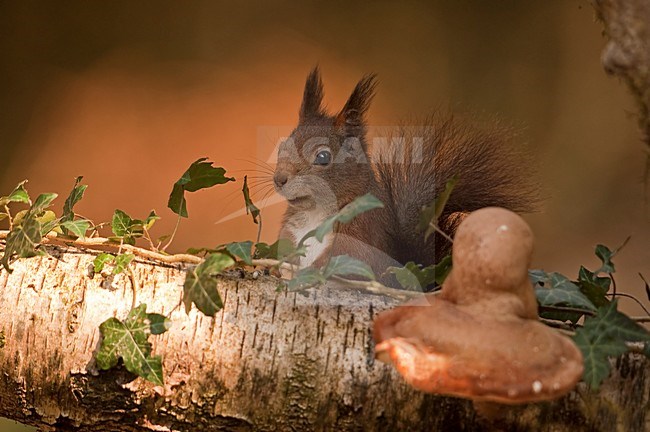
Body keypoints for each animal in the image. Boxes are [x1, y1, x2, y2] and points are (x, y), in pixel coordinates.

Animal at [270, 68, 536, 280]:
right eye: (282, 146)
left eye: (323, 157)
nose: (279, 179)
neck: (315, 214)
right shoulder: (290, 230)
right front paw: (275, 267)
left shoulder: (360, 233)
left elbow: (346, 258)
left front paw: (309, 272)